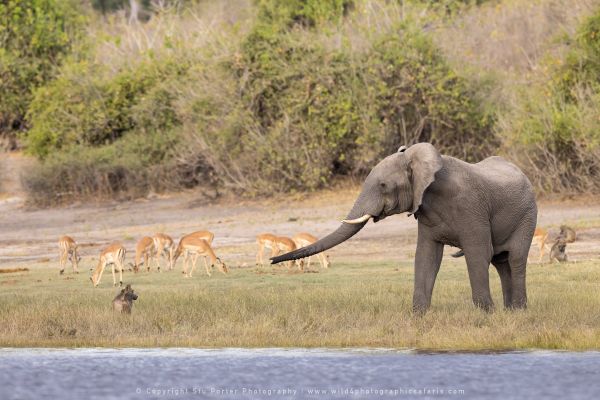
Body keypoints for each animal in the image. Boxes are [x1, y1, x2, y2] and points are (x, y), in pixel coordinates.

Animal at [270, 143, 536, 312]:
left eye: (383, 185)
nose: (272, 261)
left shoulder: (470, 207)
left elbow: (477, 253)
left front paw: (485, 315)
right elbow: (426, 256)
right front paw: (419, 315)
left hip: (528, 216)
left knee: (515, 259)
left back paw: (518, 311)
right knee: (501, 262)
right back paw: (510, 311)